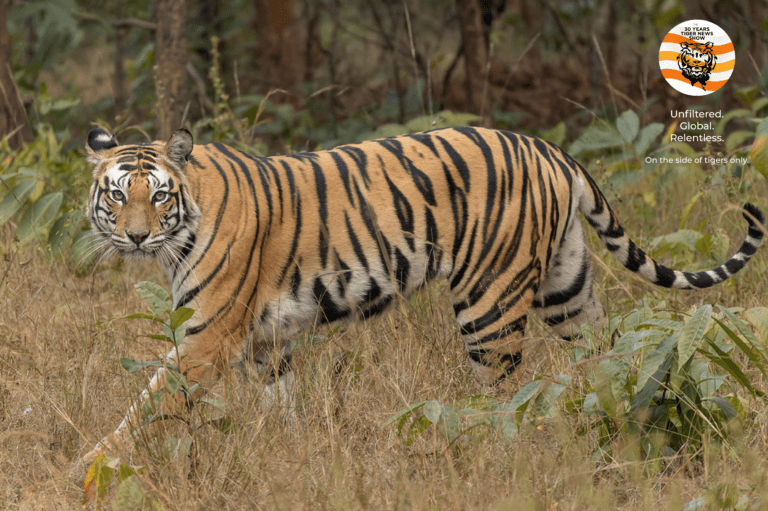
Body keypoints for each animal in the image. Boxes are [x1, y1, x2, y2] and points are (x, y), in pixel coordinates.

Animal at [82, 125, 764, 461]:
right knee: (608, 356)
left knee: (505, 397)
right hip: (567, 290)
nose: (137, 237)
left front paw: (91, 469)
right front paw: (294, 453)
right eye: (117, 195)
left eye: (158, 195)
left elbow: (142, 409)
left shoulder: (207, 335)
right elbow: (283, 407)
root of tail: (550, 148)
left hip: (491, 304)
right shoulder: (265, 343)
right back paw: (615, 422)